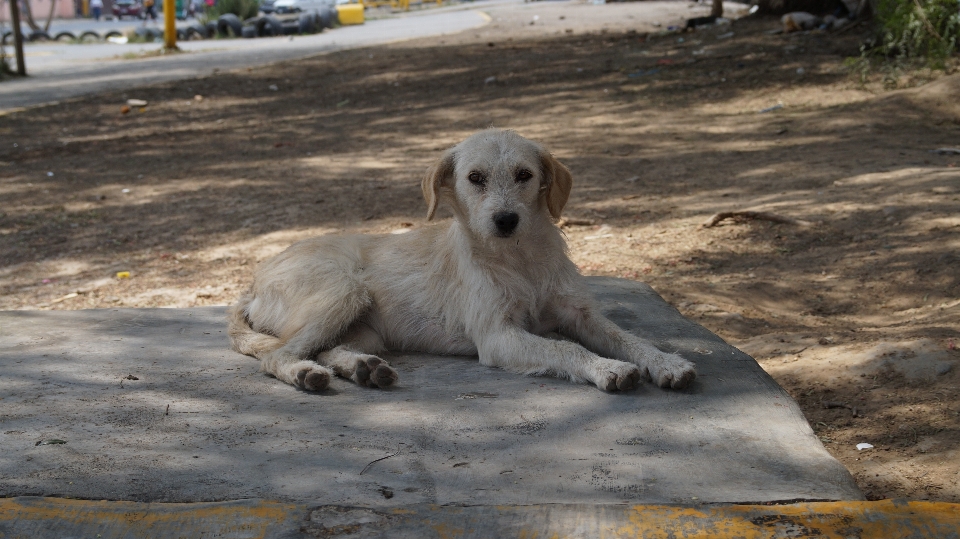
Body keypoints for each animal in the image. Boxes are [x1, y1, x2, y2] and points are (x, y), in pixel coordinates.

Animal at [231, 129, 696, 394]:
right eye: (475, 178)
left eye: (525, 175)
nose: (505, 220)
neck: (520, 259)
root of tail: (253, 282)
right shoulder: (498, 336)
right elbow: (565, 348)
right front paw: (606, 368)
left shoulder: (580, 314)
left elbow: (630, 337)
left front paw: (667, 362)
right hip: (343, 292)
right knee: (276, 355)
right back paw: (304, 374)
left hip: (365, 329)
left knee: (326, 348)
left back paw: (362, 368)